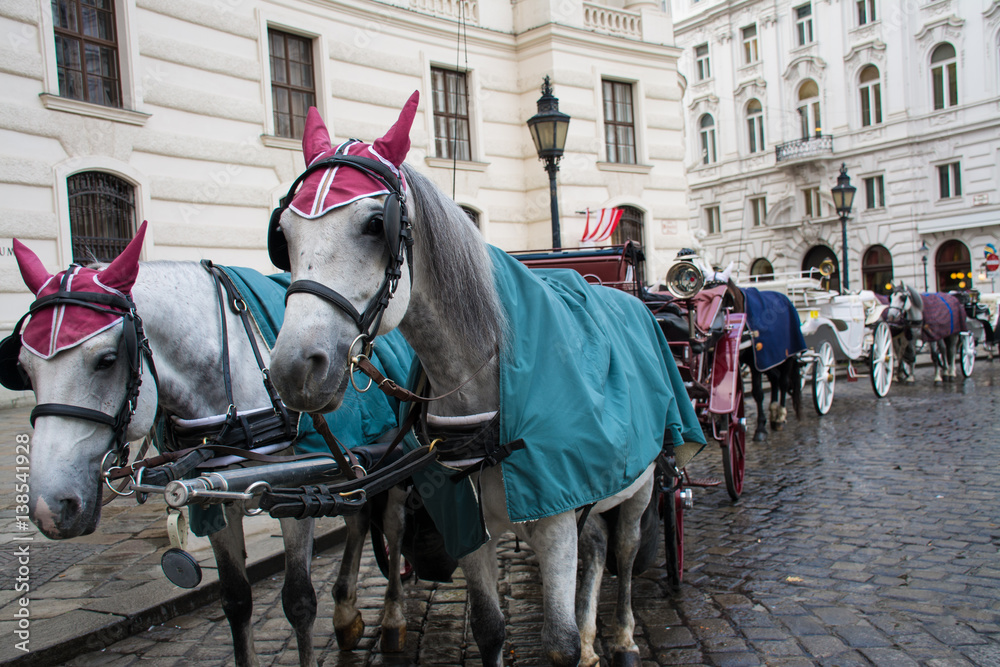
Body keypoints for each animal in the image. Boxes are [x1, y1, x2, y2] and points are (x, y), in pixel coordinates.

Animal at [1, 224, 415, 667]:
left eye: (107, 360)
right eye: (23, 367)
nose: (50, 508)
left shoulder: (300, 492)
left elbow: (299, 600)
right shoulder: (216, 494)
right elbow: (236, 599)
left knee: (394, 526)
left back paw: (392, 617)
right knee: (358, 518)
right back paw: (346, 613)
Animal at [264, 93, 703, 666]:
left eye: (373, 224)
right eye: (284, 235)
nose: (294, 368)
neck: (483, 384)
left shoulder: (555, 515)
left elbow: (558, 644)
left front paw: (582, 642)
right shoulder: (467, 519)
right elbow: (490, 628)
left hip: (642, 483)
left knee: (625, 552)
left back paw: (624, 637)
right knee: (597, 547)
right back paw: (594, 640)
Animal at [740, 288, 804, 441]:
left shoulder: (754, 362)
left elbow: (757, 392)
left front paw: (760, 428)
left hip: (787, 357)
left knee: (784, 382)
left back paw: (780, 417)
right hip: (769, 361)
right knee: (775, 378)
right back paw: (774, 414)